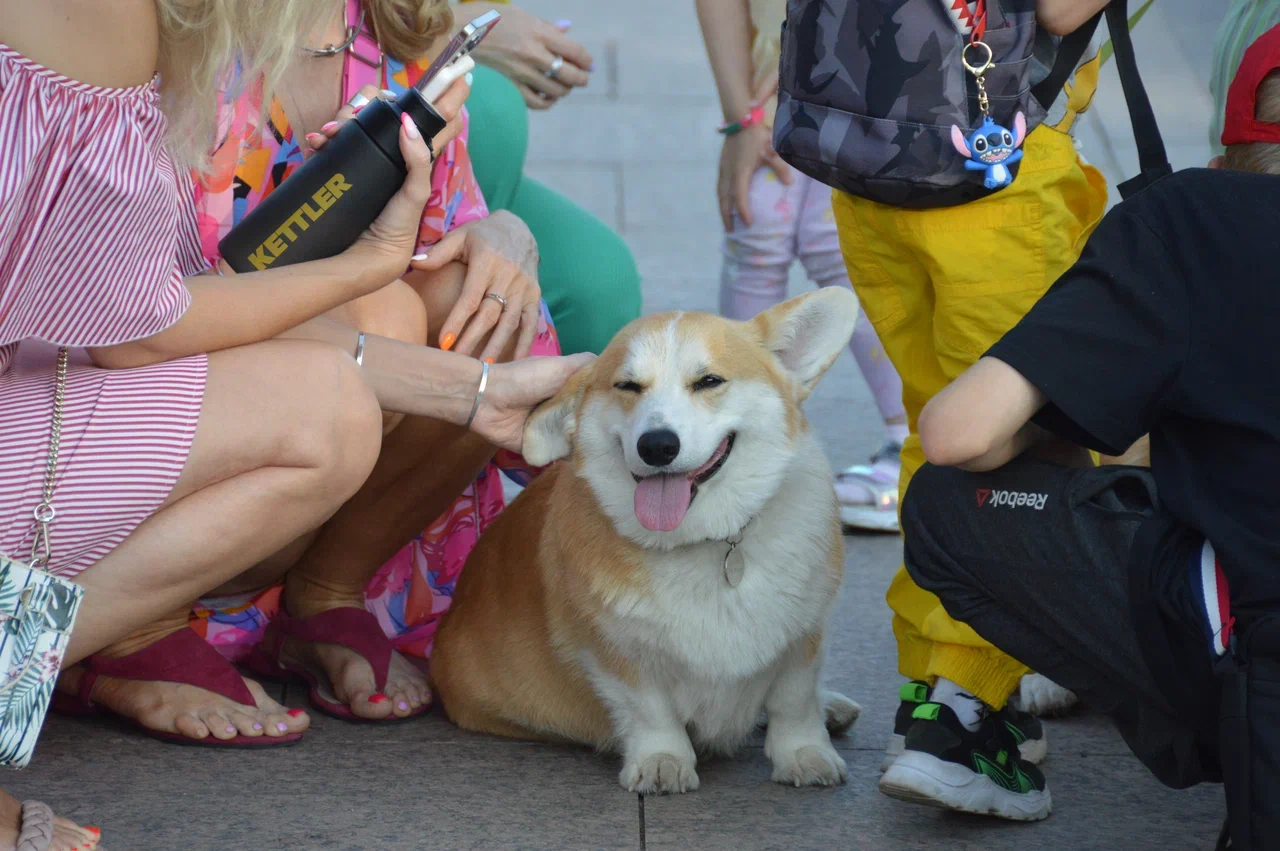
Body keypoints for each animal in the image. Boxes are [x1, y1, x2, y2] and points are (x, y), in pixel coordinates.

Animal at [430, 289, 860, 793]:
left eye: (709, 381)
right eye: (628, 386)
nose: (657, 445)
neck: (709, 541)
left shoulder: (804, 636)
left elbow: (795, 700)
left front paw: (805, 755)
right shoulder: (616, 650)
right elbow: (651, 711)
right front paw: (662, 762)